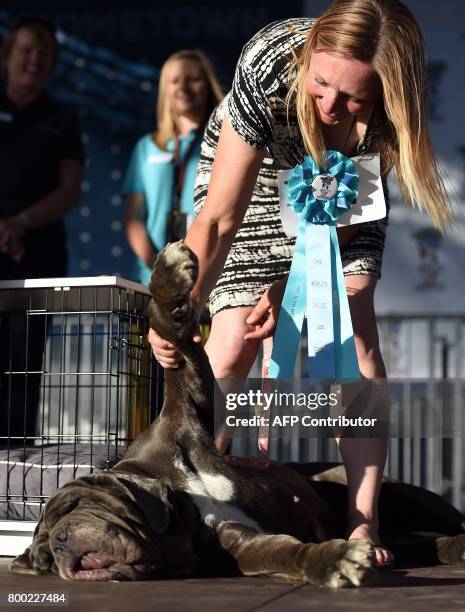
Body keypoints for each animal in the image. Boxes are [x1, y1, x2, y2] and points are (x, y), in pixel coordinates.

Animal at [9, 241, 464, 584]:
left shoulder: (185, 408)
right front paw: (334, 562)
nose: (61, 544)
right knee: (422, 544)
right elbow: (285, 552)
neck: (179, 503)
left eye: (74, 507)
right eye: (44, 557)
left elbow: (176, 353)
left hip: (407, 497)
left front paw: (168, 280)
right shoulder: (242, 546)